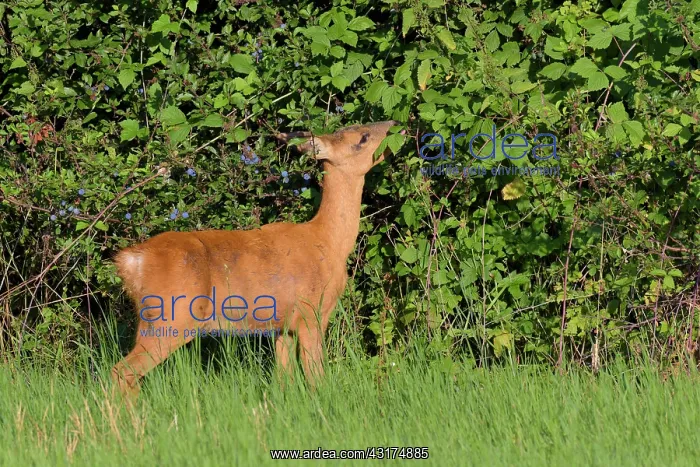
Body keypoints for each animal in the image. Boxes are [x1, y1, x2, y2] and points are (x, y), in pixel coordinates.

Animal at [111, 120, 399, 399]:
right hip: (173, 317)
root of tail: (132, 261)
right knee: (121, 372)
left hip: (149, 320)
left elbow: (283, 382)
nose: (397, 125)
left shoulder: (284, 326)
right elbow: (317, 380)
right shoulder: (311, 314)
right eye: (362, 137)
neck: (329, 242)